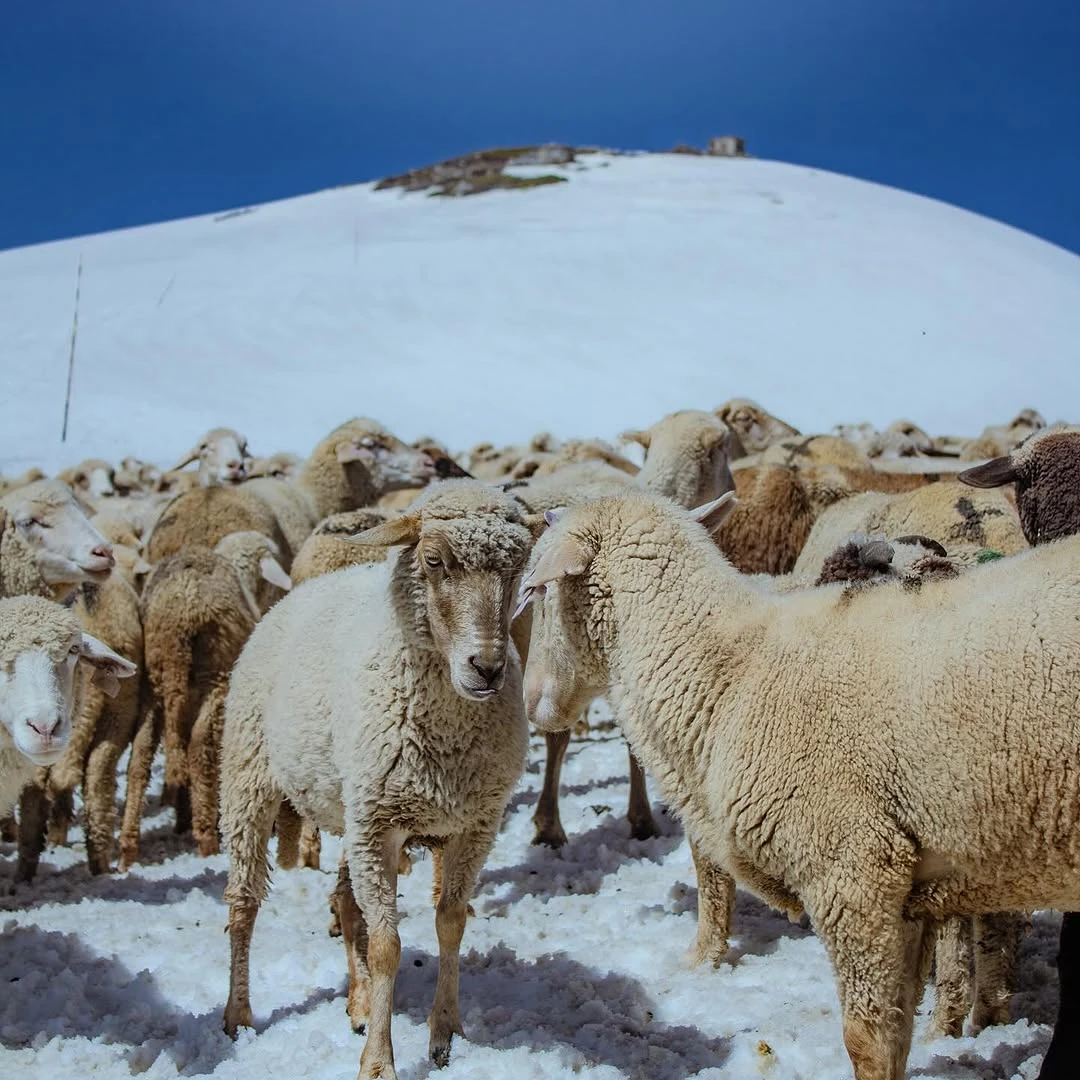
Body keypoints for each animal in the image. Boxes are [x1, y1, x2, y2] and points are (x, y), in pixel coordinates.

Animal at [119, 532, 290, 867]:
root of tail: (178, 618)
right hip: (215, 678)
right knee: (199, 751)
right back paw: (207, 839)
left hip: (153, 684)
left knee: (140, 757)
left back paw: (128, 848)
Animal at [219, 480, 541, 1079]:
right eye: (434, 560)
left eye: (516, 567)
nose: (487, 668)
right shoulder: (379, 825)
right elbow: (388, 944)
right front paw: (378, 1063)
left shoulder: (473, 825)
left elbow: (450, 923)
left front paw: (444, 1035)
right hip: (250, 777)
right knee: (244, 903)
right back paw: (238, 1014)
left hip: (352, 804)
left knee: (347, 905)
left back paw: (361, 1001)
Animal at [517, 488, 1080, 1080]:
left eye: (538, 590)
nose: (532, 702)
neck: (729, 674)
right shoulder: (910, 890)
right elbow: (899, 1030)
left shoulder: (854, 872)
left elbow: (868, 1041)